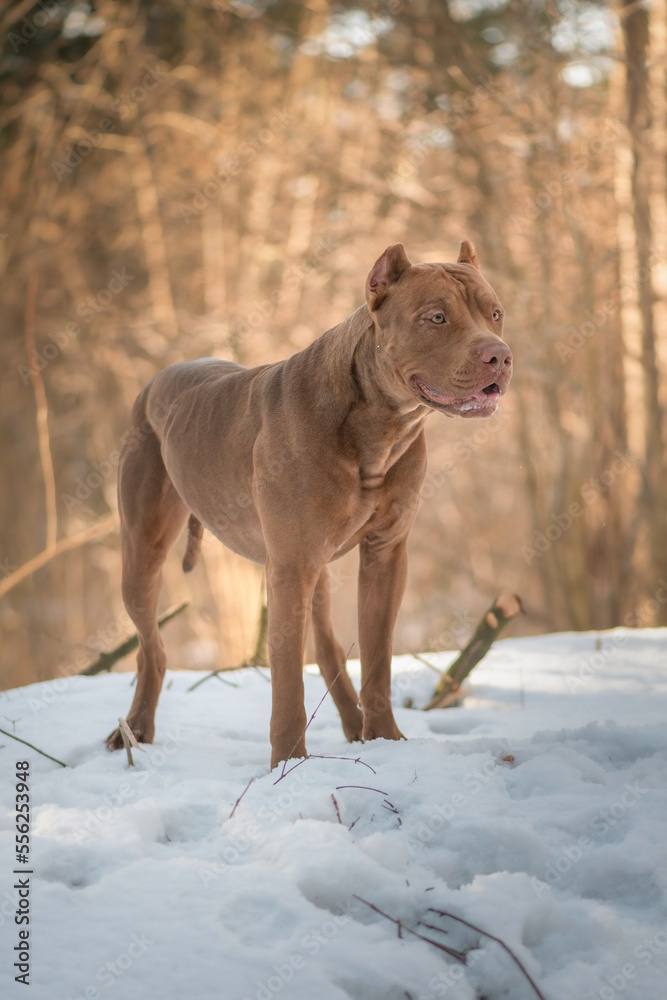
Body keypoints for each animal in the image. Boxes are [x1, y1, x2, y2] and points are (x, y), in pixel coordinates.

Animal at [108, 240, 512, 764]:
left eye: (495, 314)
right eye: (437, 317)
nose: (499, 355)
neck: (379, 425)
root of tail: (159, 377)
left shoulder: (385, 555)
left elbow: (377, 658)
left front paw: (386, 740)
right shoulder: (289, 567)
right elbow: (286, 681)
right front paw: (287, 764)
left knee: (325, 647)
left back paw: (355, 726)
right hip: (143, 555)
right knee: (151, 647)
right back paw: (135, 729)